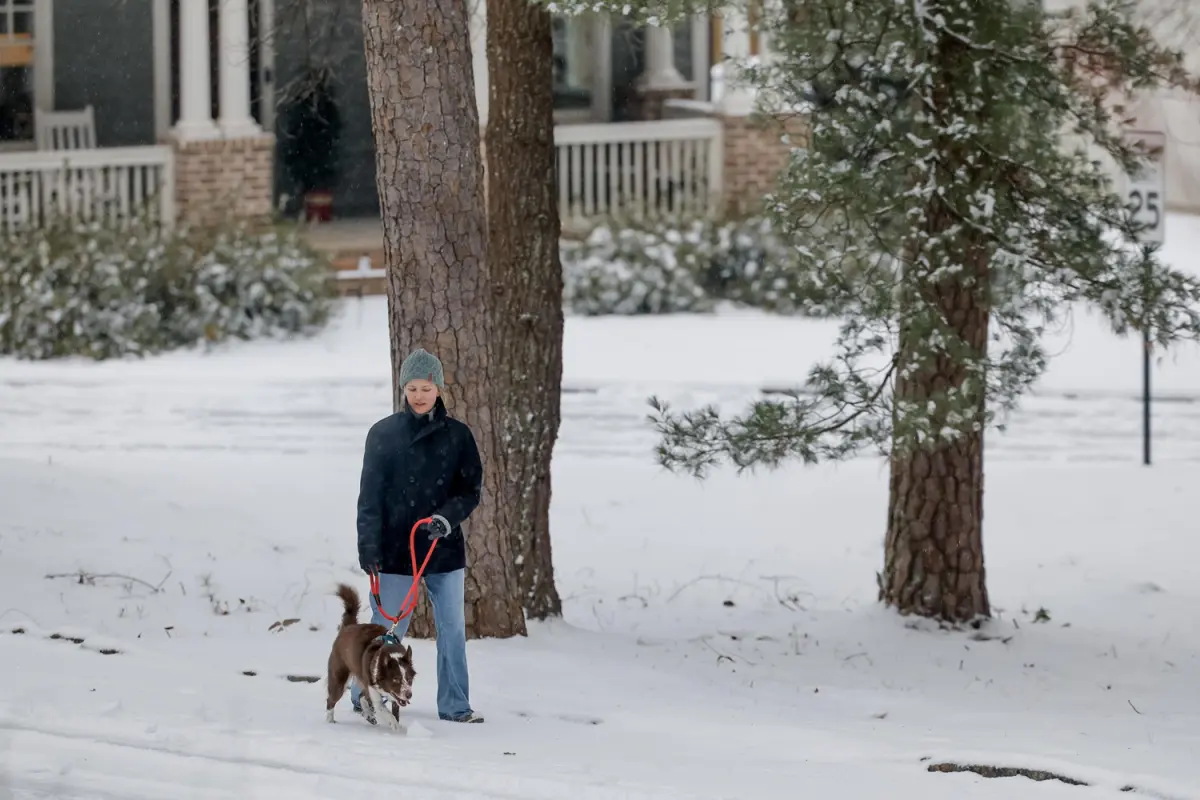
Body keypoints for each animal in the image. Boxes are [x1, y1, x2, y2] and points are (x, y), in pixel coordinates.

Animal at [326, 582, 415, 734]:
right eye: (396, 679)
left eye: (409, 679)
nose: (409, 695)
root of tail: (348, 626)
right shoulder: (374, 690)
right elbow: (384, 711)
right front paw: (395, 726)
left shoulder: (394, 696)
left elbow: (394, 709)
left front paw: (396, 725)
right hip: (339, 678)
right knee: (331, 700)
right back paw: (329, 722)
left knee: (361, 696)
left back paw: (368, 715)